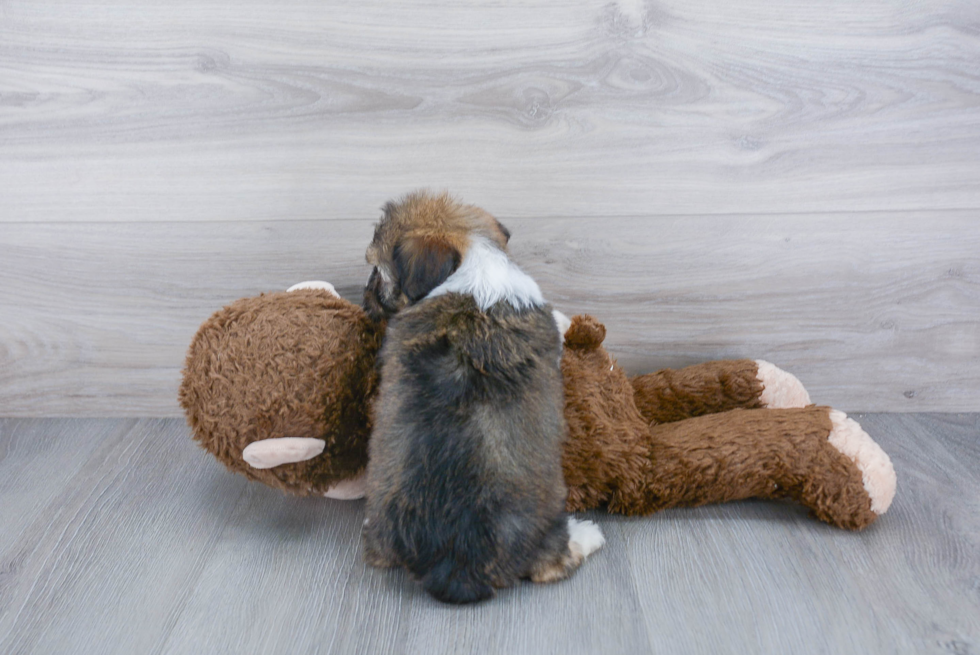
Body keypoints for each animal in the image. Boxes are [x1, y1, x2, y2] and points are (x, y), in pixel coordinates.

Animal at [362, 191, 604, 604]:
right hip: (546, 527)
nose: (363, 299)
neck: (473, 266)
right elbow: (557, 325)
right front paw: (567, 321)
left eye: (377, 273)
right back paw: (588, 535)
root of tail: (454, 562)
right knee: (552, 565)